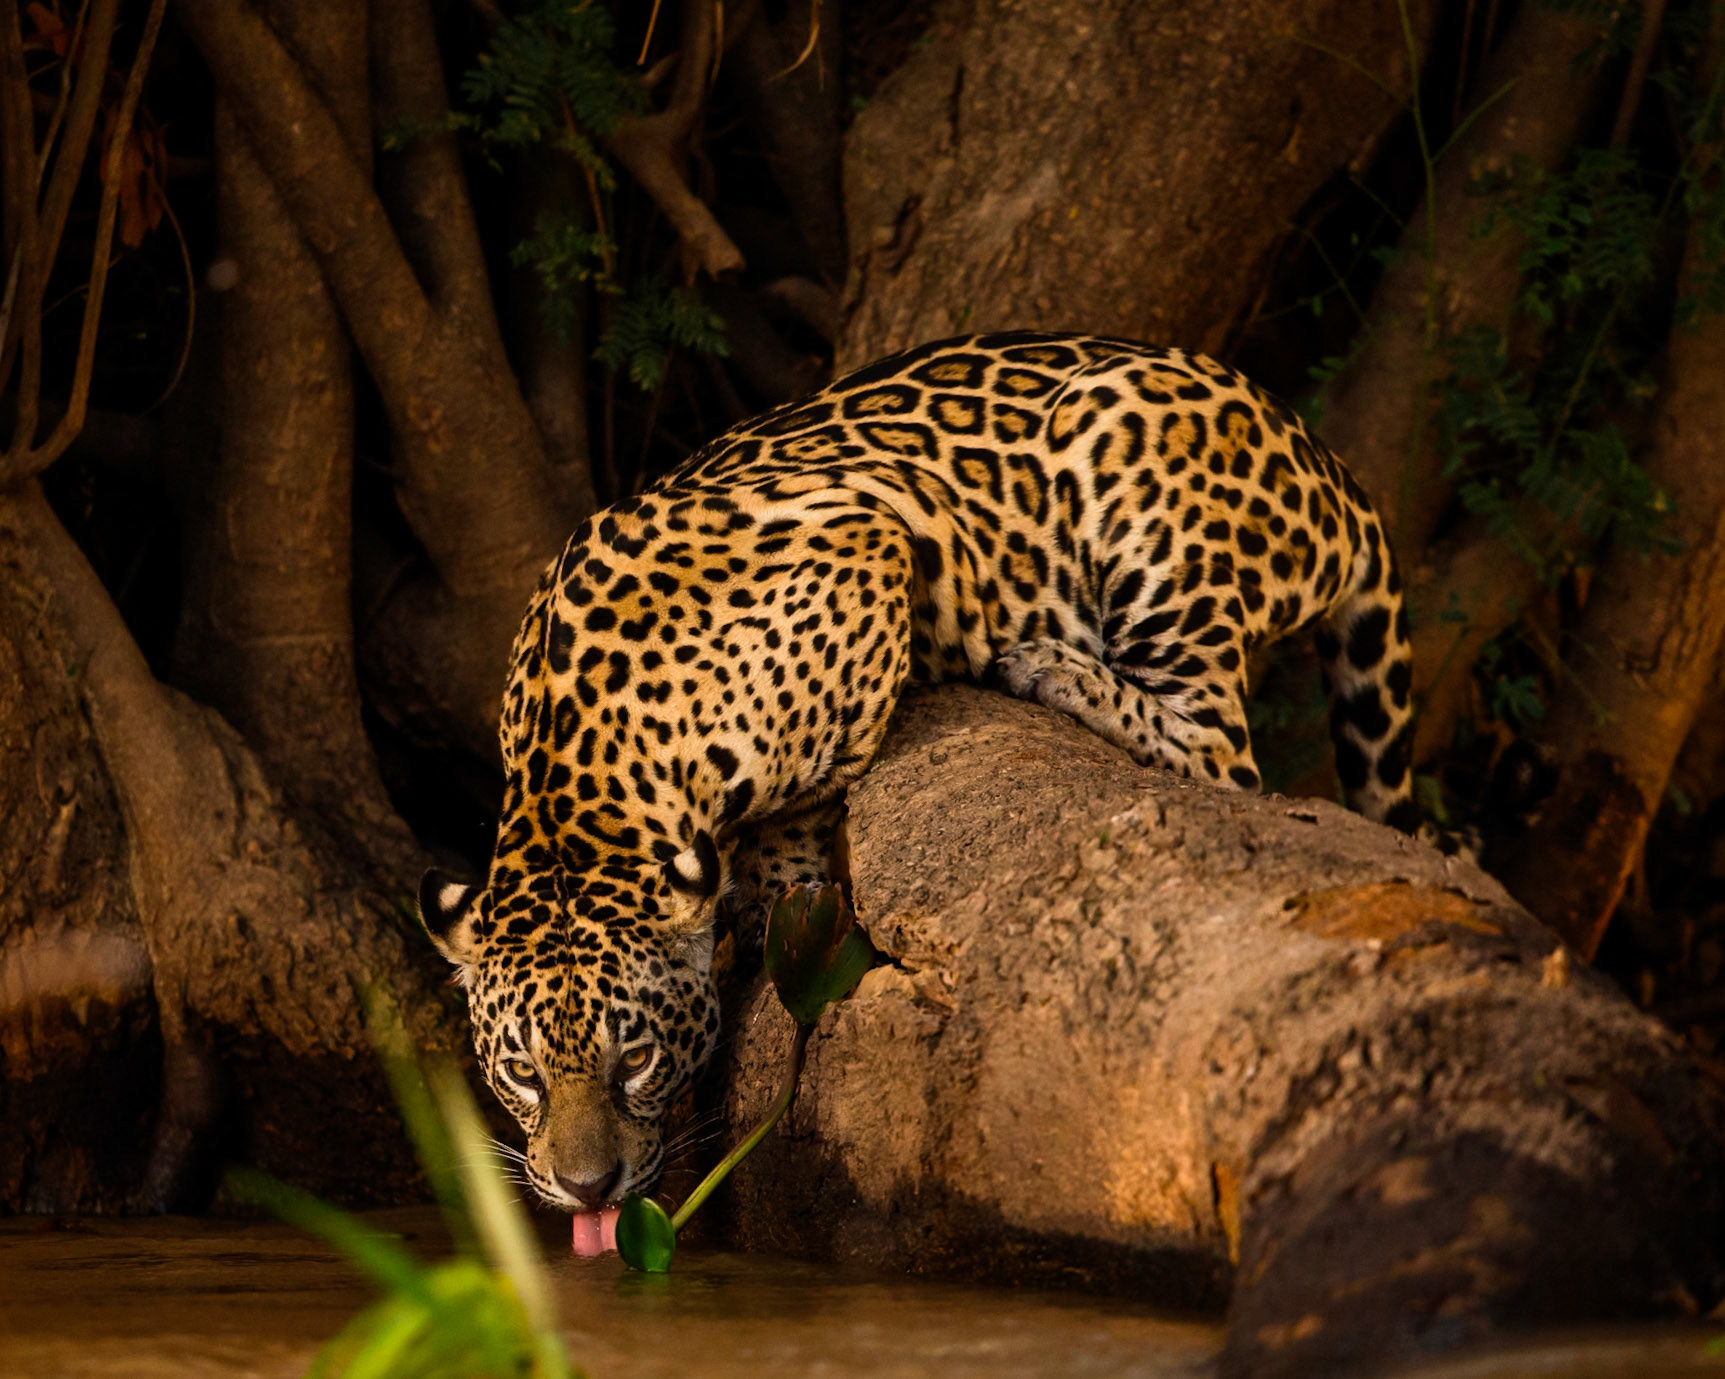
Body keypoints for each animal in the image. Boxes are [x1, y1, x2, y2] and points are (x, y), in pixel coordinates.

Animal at [419, 331, 1418, 1213]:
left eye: (634, 1058)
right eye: (520, 1072)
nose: (586, 1187)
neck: (576, 778)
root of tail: (1322, 461)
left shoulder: (868, 545)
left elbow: (799, 812)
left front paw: (783, 885)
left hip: (1148, 509)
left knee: (1223, 754)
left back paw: (1050, 667)